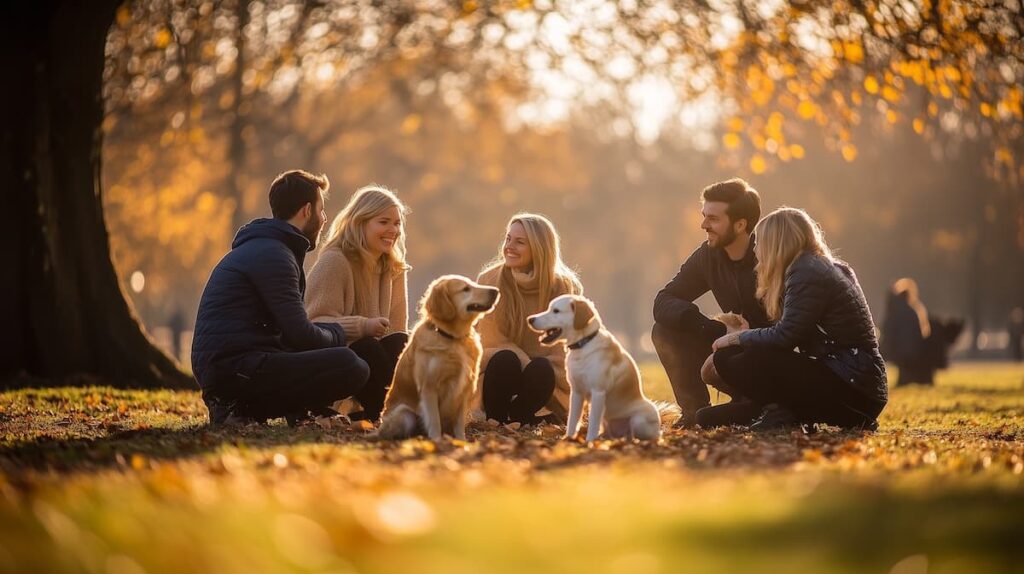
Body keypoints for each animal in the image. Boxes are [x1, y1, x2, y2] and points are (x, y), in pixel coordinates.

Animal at [528, 292, 671, 439]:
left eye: (556, 311)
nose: (530, 319)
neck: (583, 345)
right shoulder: (576, 392)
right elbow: (572, 420)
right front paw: (568, 439)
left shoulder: (598, 392)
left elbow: (592, 423)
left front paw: (589, 441)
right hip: (607, 423)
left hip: (639, 420)